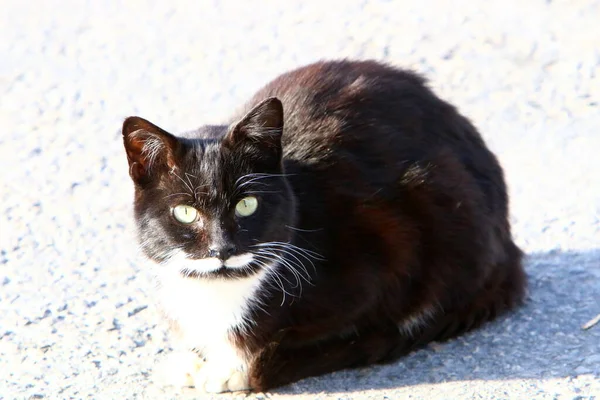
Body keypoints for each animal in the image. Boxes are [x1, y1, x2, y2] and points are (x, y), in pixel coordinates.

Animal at [122, 60, 524, 394]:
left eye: (247, 205)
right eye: (185, 212)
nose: (222, 249)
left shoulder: (383, 255)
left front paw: (232, 369)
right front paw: (193, 359)